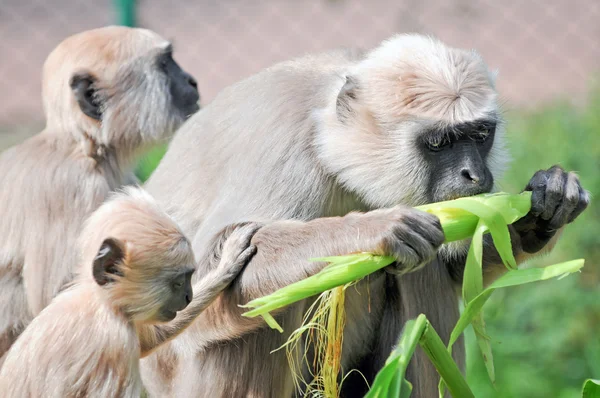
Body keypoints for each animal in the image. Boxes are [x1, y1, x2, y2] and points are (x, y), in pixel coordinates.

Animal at [142, 35, 592, 398]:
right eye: (439, 143)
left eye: (480, 135)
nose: (473, 173)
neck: (330, 144)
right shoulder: (282, 146)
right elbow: (199, 288)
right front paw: (373, 230)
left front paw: (543, 211)